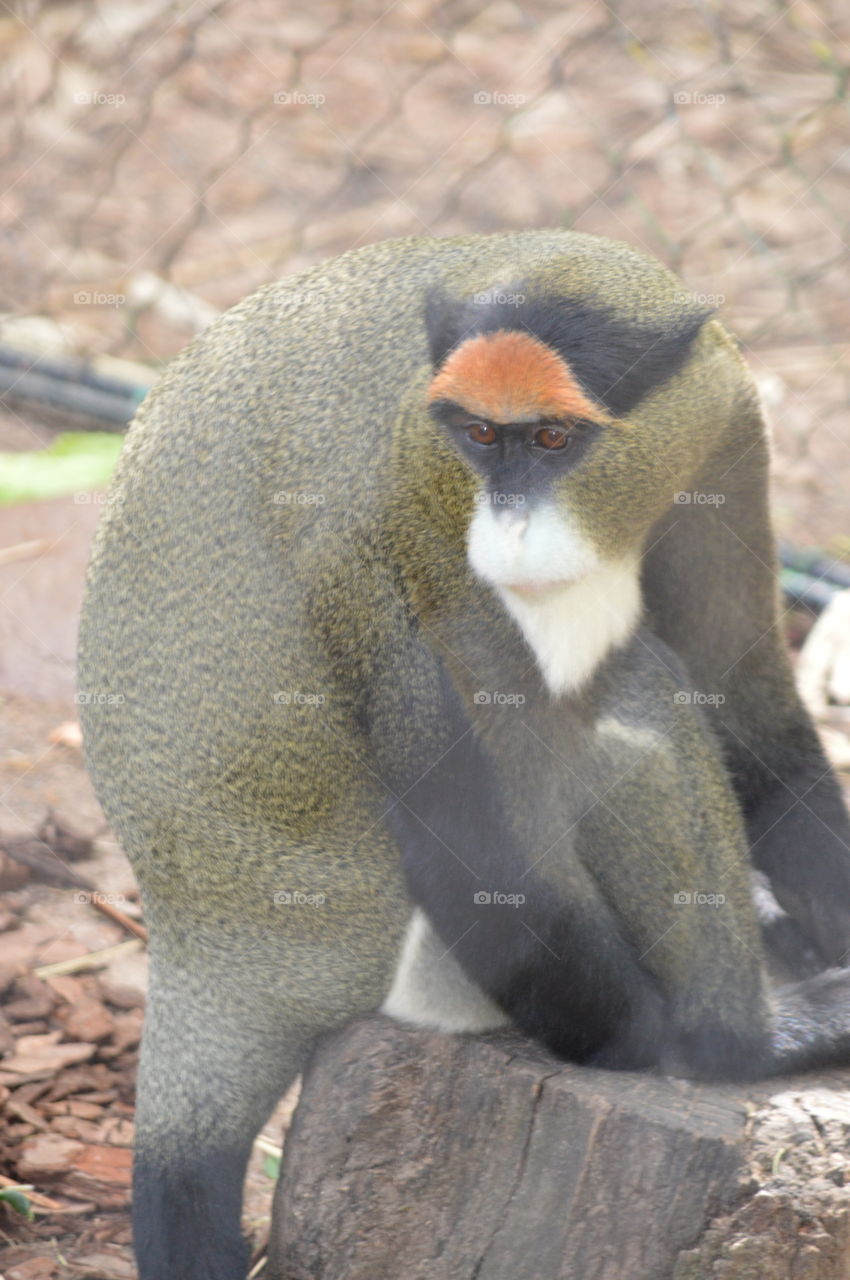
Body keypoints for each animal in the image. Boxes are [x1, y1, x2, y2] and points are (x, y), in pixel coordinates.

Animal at [76, 229, 850, 1280]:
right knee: (632, 704)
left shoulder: (724, 419)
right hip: (430, 973)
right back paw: (741, 1041)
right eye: (481, 437)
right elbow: (476, 832)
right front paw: (690, 1046)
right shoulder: (387, 509)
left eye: (553, 440)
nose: (511, 527)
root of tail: (222, 957)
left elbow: (740, 680)